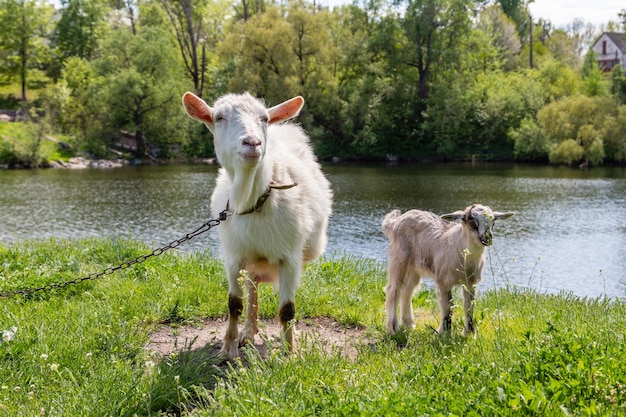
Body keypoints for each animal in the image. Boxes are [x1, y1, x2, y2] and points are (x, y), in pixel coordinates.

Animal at [182, 91, 332, 358]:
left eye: (264, 118)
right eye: (219, 117)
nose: (252, 143)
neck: (254, 200)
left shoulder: (290, 257)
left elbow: (287, 309)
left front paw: (290, 353)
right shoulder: (233, 256)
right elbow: (234, 304)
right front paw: (227, 350)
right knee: (252, 288)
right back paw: (248, 332)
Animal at [380, 203, 512, 336]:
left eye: (493, 223)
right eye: (472, 223)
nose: (487, 237)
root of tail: (394, 222)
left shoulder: (470, 282)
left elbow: (469, 306)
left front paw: (469, 334)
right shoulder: (444, 280)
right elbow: (448, 305)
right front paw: (445, 332)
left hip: (414, 268)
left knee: (407, 290)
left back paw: (409, 324)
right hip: (398, 259)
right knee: (393, 290)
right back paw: (392, 328)